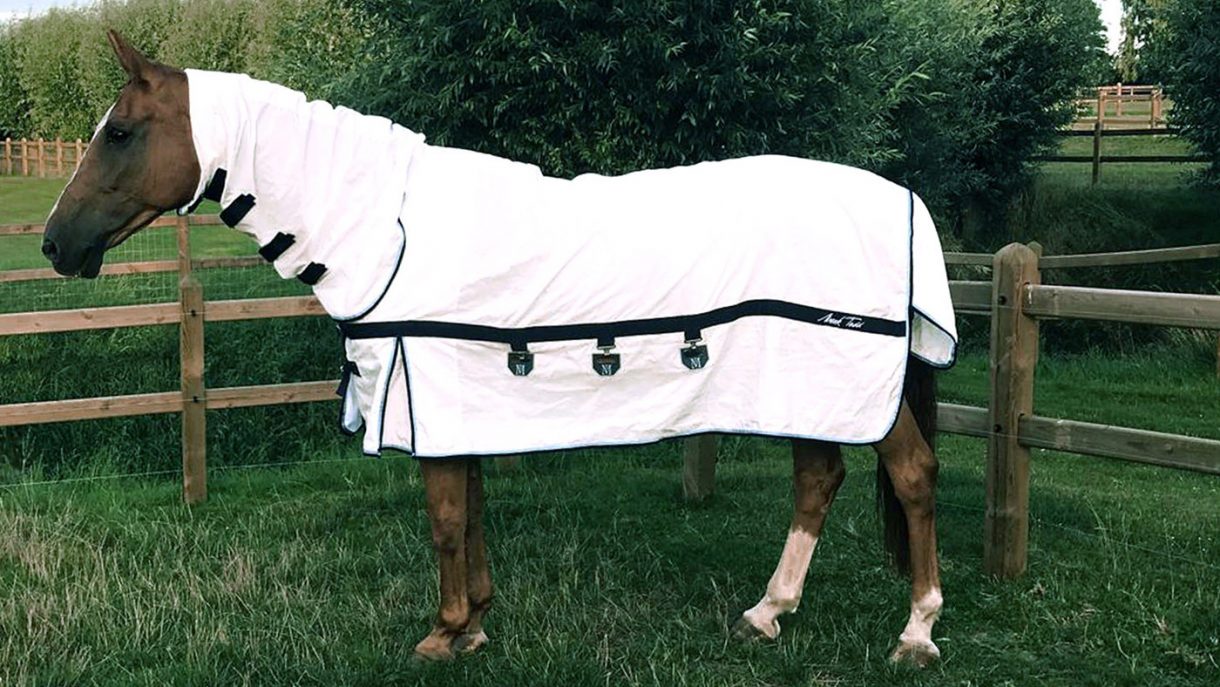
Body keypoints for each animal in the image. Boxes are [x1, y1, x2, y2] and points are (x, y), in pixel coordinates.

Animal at [42, 31, 955, 665]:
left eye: (120, 132)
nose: (56, 244)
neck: (389, 229)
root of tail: (904, 198)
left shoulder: (427, 392)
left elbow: (447, 520)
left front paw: (443, 634)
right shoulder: (455, 401)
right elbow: (471, 511)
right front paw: (475, 622)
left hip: (851, 383)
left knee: (911, 475)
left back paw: (916, 630)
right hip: (810, 386)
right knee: (819, 480)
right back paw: (768, 612)